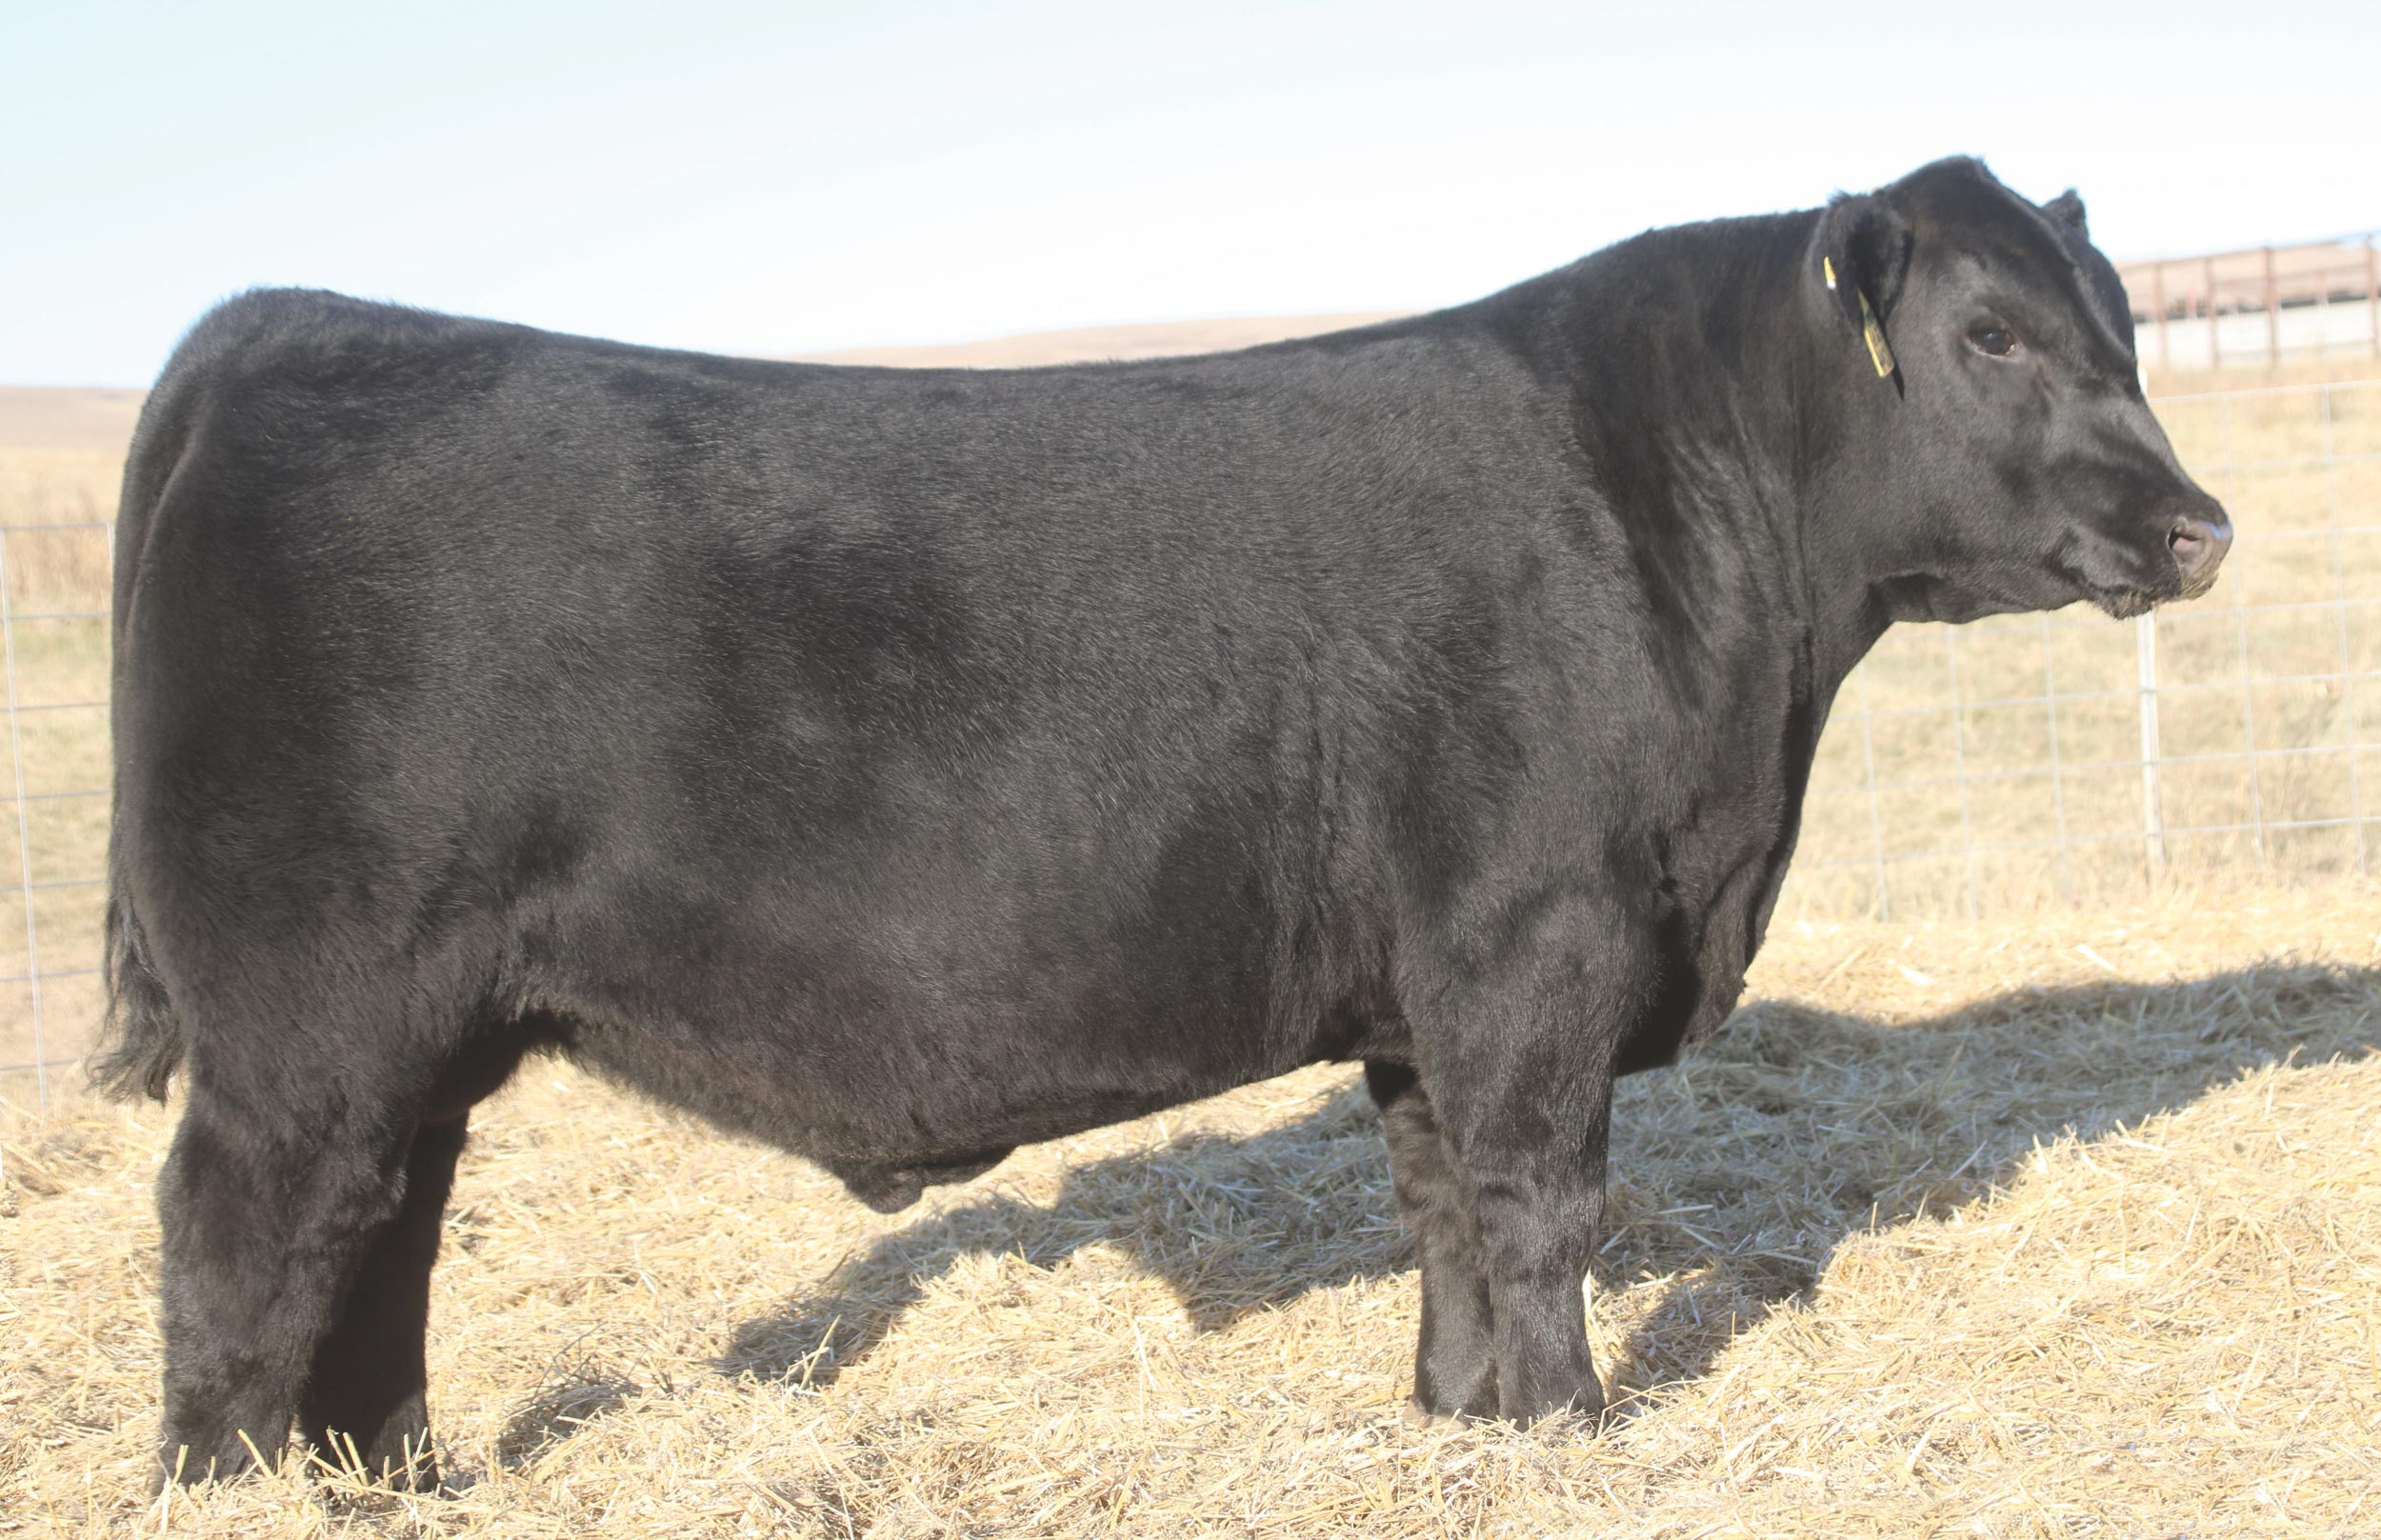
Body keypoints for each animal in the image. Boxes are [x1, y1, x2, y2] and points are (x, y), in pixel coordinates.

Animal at [97, 155, 2228, 1489]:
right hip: (307, 1020)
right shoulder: (1532, 943)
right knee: (244, 1237)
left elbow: (1443, 1206)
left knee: (382, 1237)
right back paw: (242, 1484)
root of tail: (280, 326)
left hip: (415, 1027)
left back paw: (391, 1477)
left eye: (2121, 326)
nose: (2194, 523)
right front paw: (1570, 1427)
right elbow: (1541, 1199)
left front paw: (1462, 1421)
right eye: (1990, 337)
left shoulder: (1420, 981)